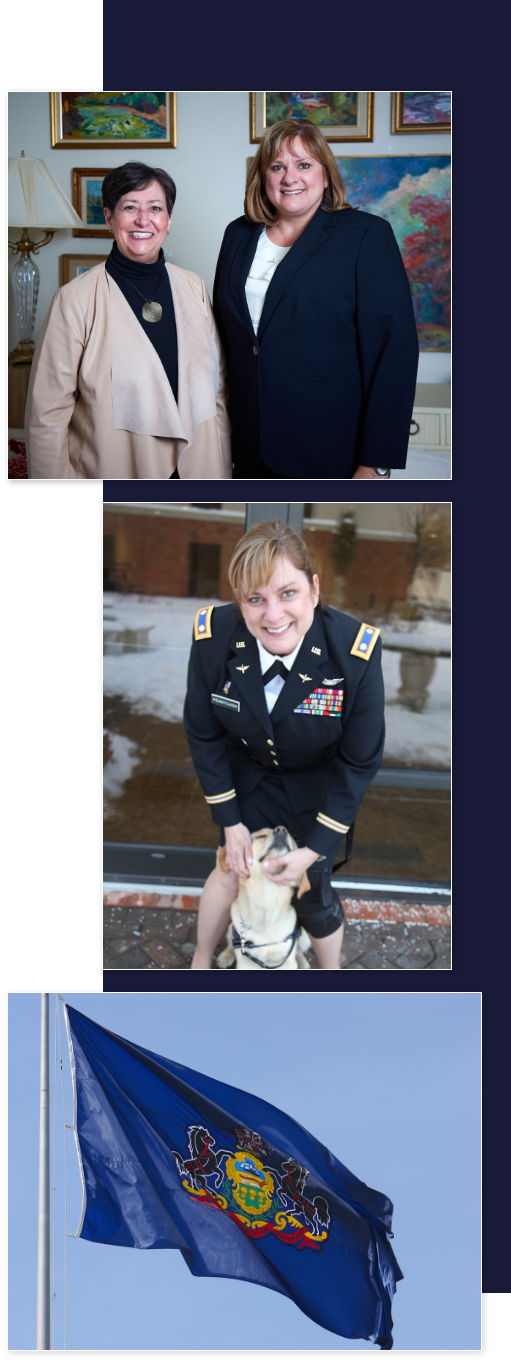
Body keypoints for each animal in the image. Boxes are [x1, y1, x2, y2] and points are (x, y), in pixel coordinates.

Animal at [216, 828, 312, 969]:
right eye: (261, 836)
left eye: (293, 844)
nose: (281, 829)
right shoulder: (244, 962)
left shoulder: (286, 961)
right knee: (230, 944)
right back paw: (226, 956)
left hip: (305, 938)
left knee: (298, 950)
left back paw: (302, 962)